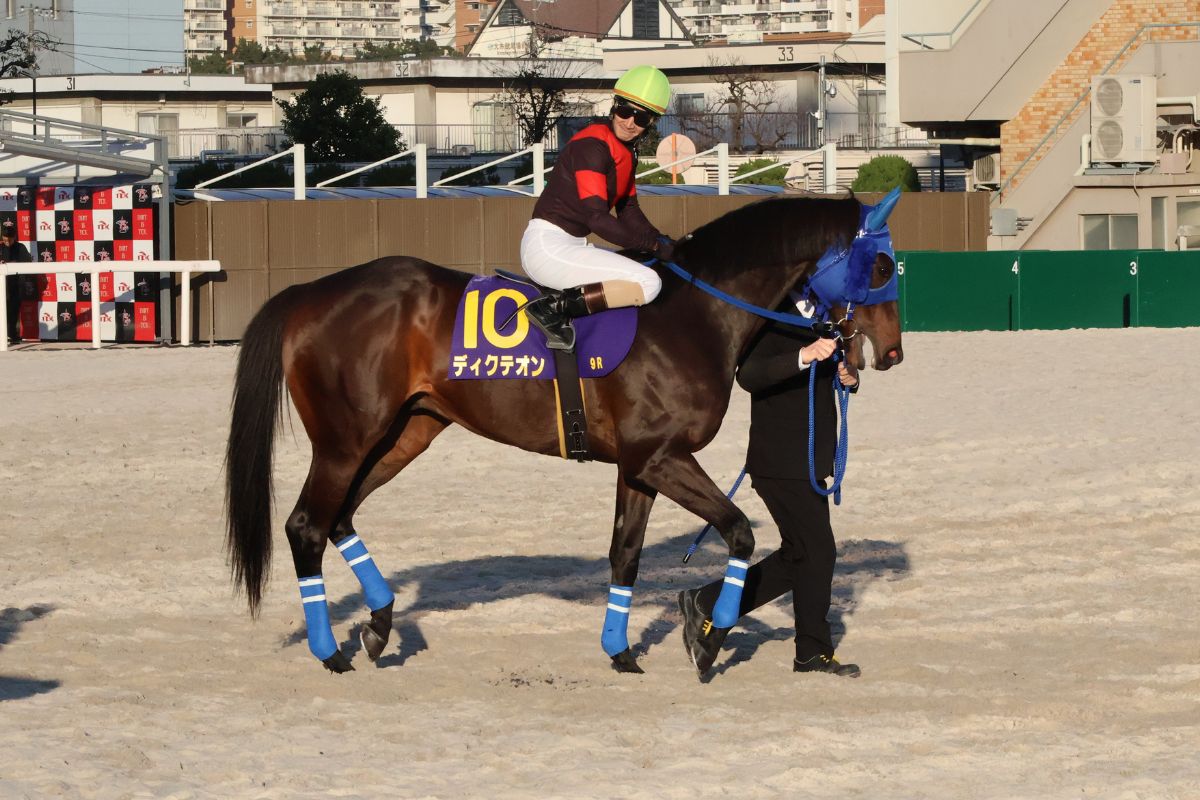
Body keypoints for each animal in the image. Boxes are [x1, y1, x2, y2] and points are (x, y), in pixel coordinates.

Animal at [224, 190, 905, 674]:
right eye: (881, 265)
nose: (893, 352)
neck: (692, 317)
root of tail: (310, 291)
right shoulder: (661, 457)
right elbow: (738, 531)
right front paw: (708, 639)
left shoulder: (640, 466)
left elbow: (625, 553)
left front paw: (621, 650)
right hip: (345, 442)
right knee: (306, 526)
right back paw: (331, 652)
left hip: (405, 434)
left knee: (339, 518)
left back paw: (380, 622)